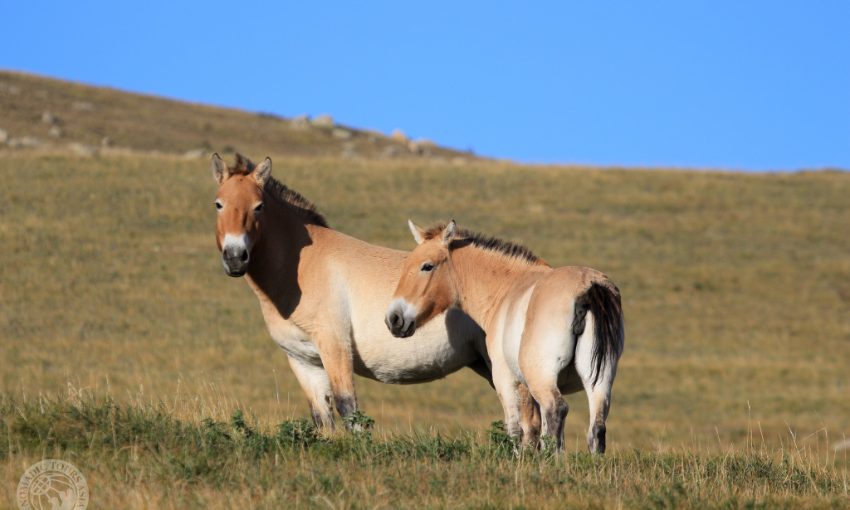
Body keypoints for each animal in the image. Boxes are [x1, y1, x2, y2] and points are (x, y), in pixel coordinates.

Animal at [211, 153, 489, 429]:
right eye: (218, 204)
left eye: (258, 206)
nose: (235, 257)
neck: (303, 268)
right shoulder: (304, 362)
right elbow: (322, 419)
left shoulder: (335, 348)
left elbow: (348, 408)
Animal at [385, 220, 624, 452]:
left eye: (427, 266)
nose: (394, 319)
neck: (508, 288)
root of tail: (587, 287)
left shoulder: (504, 378)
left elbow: (516, 430)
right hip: (599, 382)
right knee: (596, 429)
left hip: (542, 378)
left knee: (557, 411)